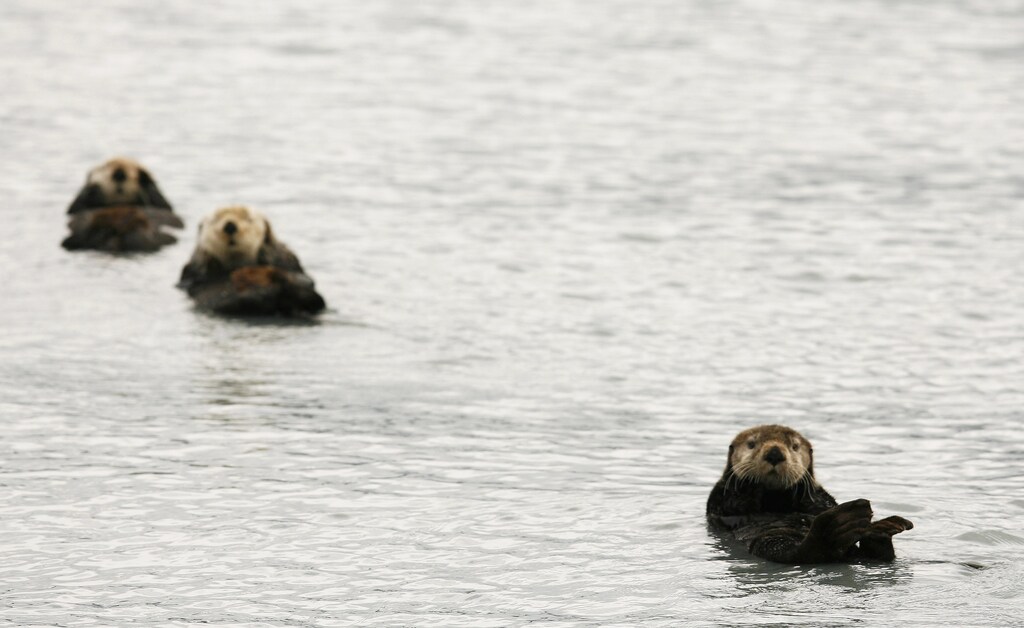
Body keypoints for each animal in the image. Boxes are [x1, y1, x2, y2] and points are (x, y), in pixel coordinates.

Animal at [178, 206, 325, 316]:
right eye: (215, 220)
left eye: (248, 219)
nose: (230, 225)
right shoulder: (192, 272)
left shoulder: (287, 260)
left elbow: (306, 279)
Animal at [706, 425, 913, 564]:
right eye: (751, 444)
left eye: (794, 446)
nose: (774, 453)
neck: (773, 498)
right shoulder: (721, 499)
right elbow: (734, 502)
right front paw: (751, 483)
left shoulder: (818, 496)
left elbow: (821, 502)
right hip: (769, 540)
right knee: (803, 552)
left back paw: (881, 528)